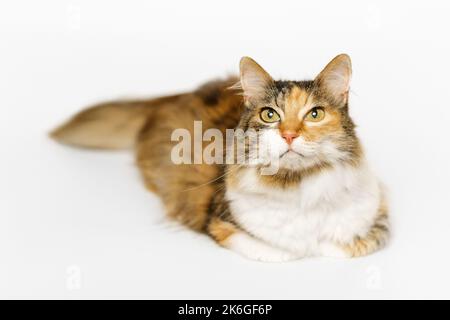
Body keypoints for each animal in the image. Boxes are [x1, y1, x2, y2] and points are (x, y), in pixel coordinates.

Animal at [51, 53, 390, 262]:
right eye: (270, 115)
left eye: (315, 114)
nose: (290, 135)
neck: (297, 184)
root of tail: (171, 97)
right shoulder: (221, 222)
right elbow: (282, 250)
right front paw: (302, 248)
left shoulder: (380, 212)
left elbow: (351, 244)